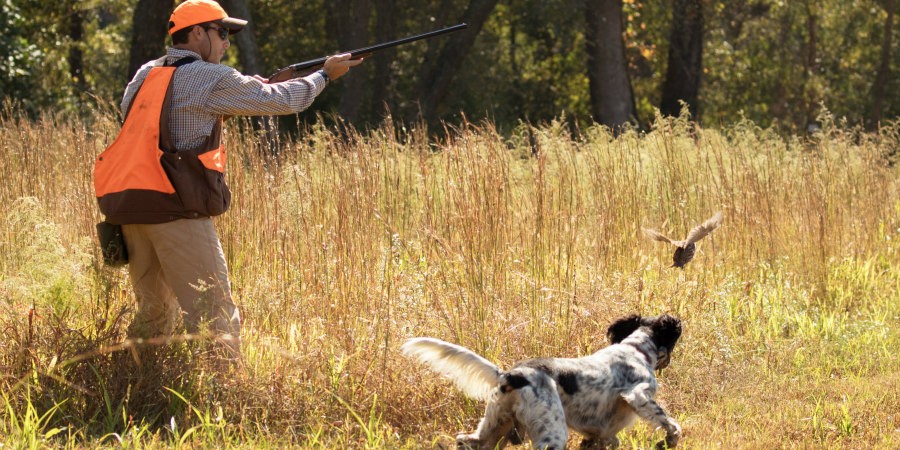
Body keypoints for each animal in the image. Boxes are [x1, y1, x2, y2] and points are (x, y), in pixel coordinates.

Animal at [400, 314, 684, 448]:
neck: (636, 348)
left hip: (494, 427)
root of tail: (510, 375)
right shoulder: (638, 394)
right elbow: (672, 425)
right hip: (552, 433)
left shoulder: (599, 435)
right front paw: (667, 442)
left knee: (466, 440)